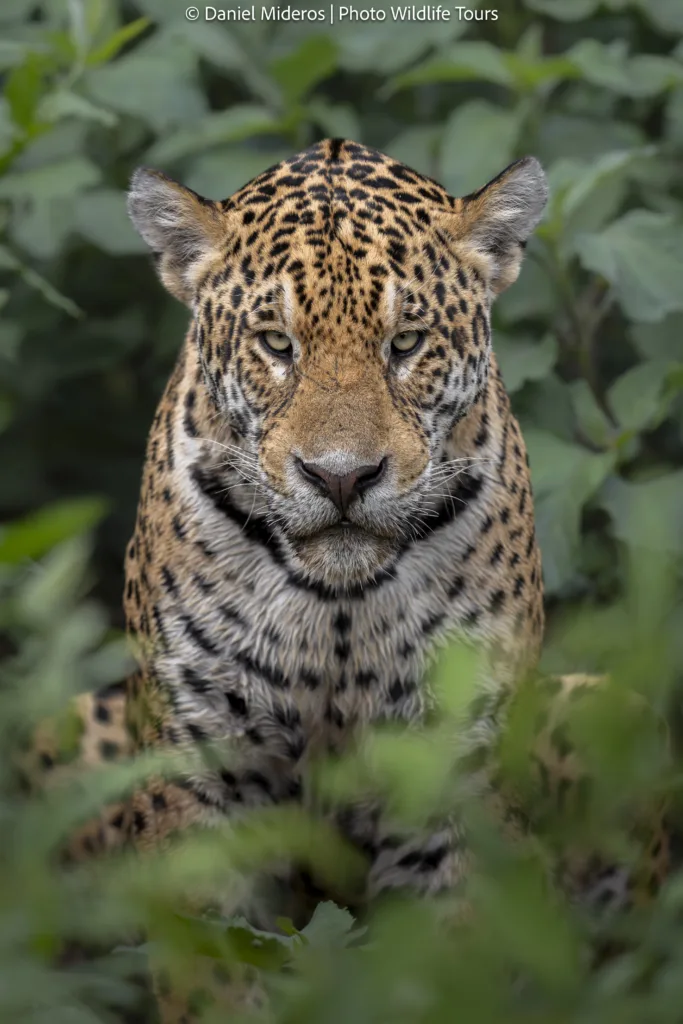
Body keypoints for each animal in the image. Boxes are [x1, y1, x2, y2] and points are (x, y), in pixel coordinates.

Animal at [28, 139, 671, 1021]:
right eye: (275, 343)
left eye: (405, 343)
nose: (340, 477)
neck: (335, 612)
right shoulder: (199, 774)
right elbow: (212, 971)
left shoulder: (452, 772)